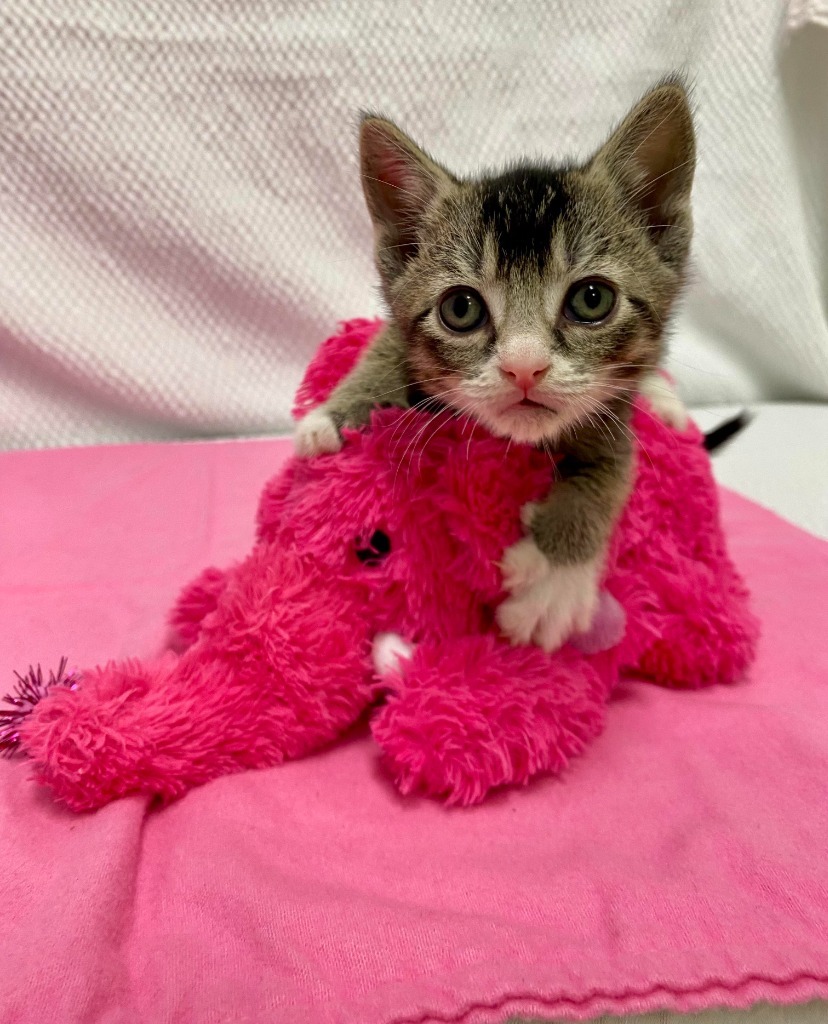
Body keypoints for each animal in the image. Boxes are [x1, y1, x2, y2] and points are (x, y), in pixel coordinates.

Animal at [294, 81, 695, 655]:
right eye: (460, 309)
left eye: (592, 299)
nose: (524, 368)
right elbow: (387, 346)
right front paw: (336, 416)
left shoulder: (612, 410)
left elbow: (612, 469)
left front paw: (555, 580)